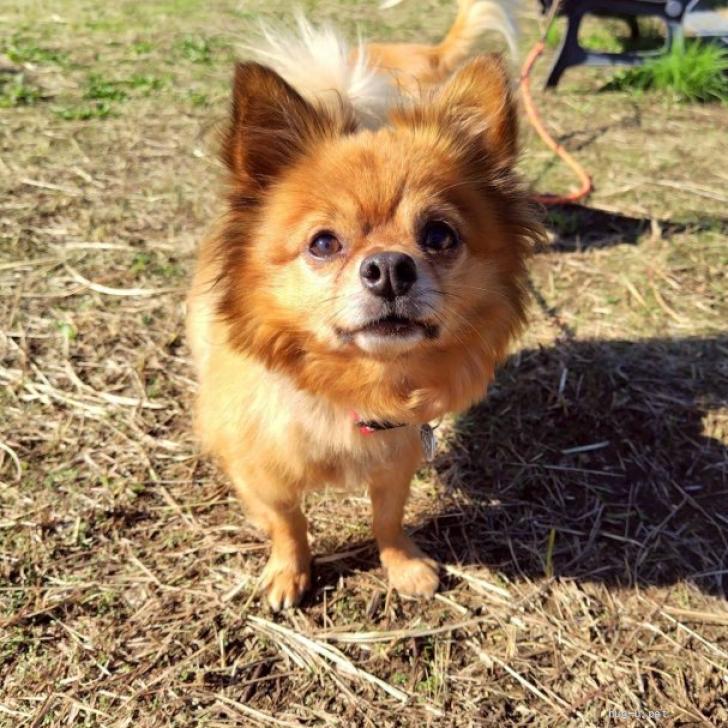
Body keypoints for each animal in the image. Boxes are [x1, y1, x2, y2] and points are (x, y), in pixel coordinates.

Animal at [186, 0, 543, 610]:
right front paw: (289, 572)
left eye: (439, 236)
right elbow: (288, 523)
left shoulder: (397, 463)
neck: (350, 389)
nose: (390, 268)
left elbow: (387, 521)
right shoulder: (262, 474)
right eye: (323, 243)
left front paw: (402, 565)